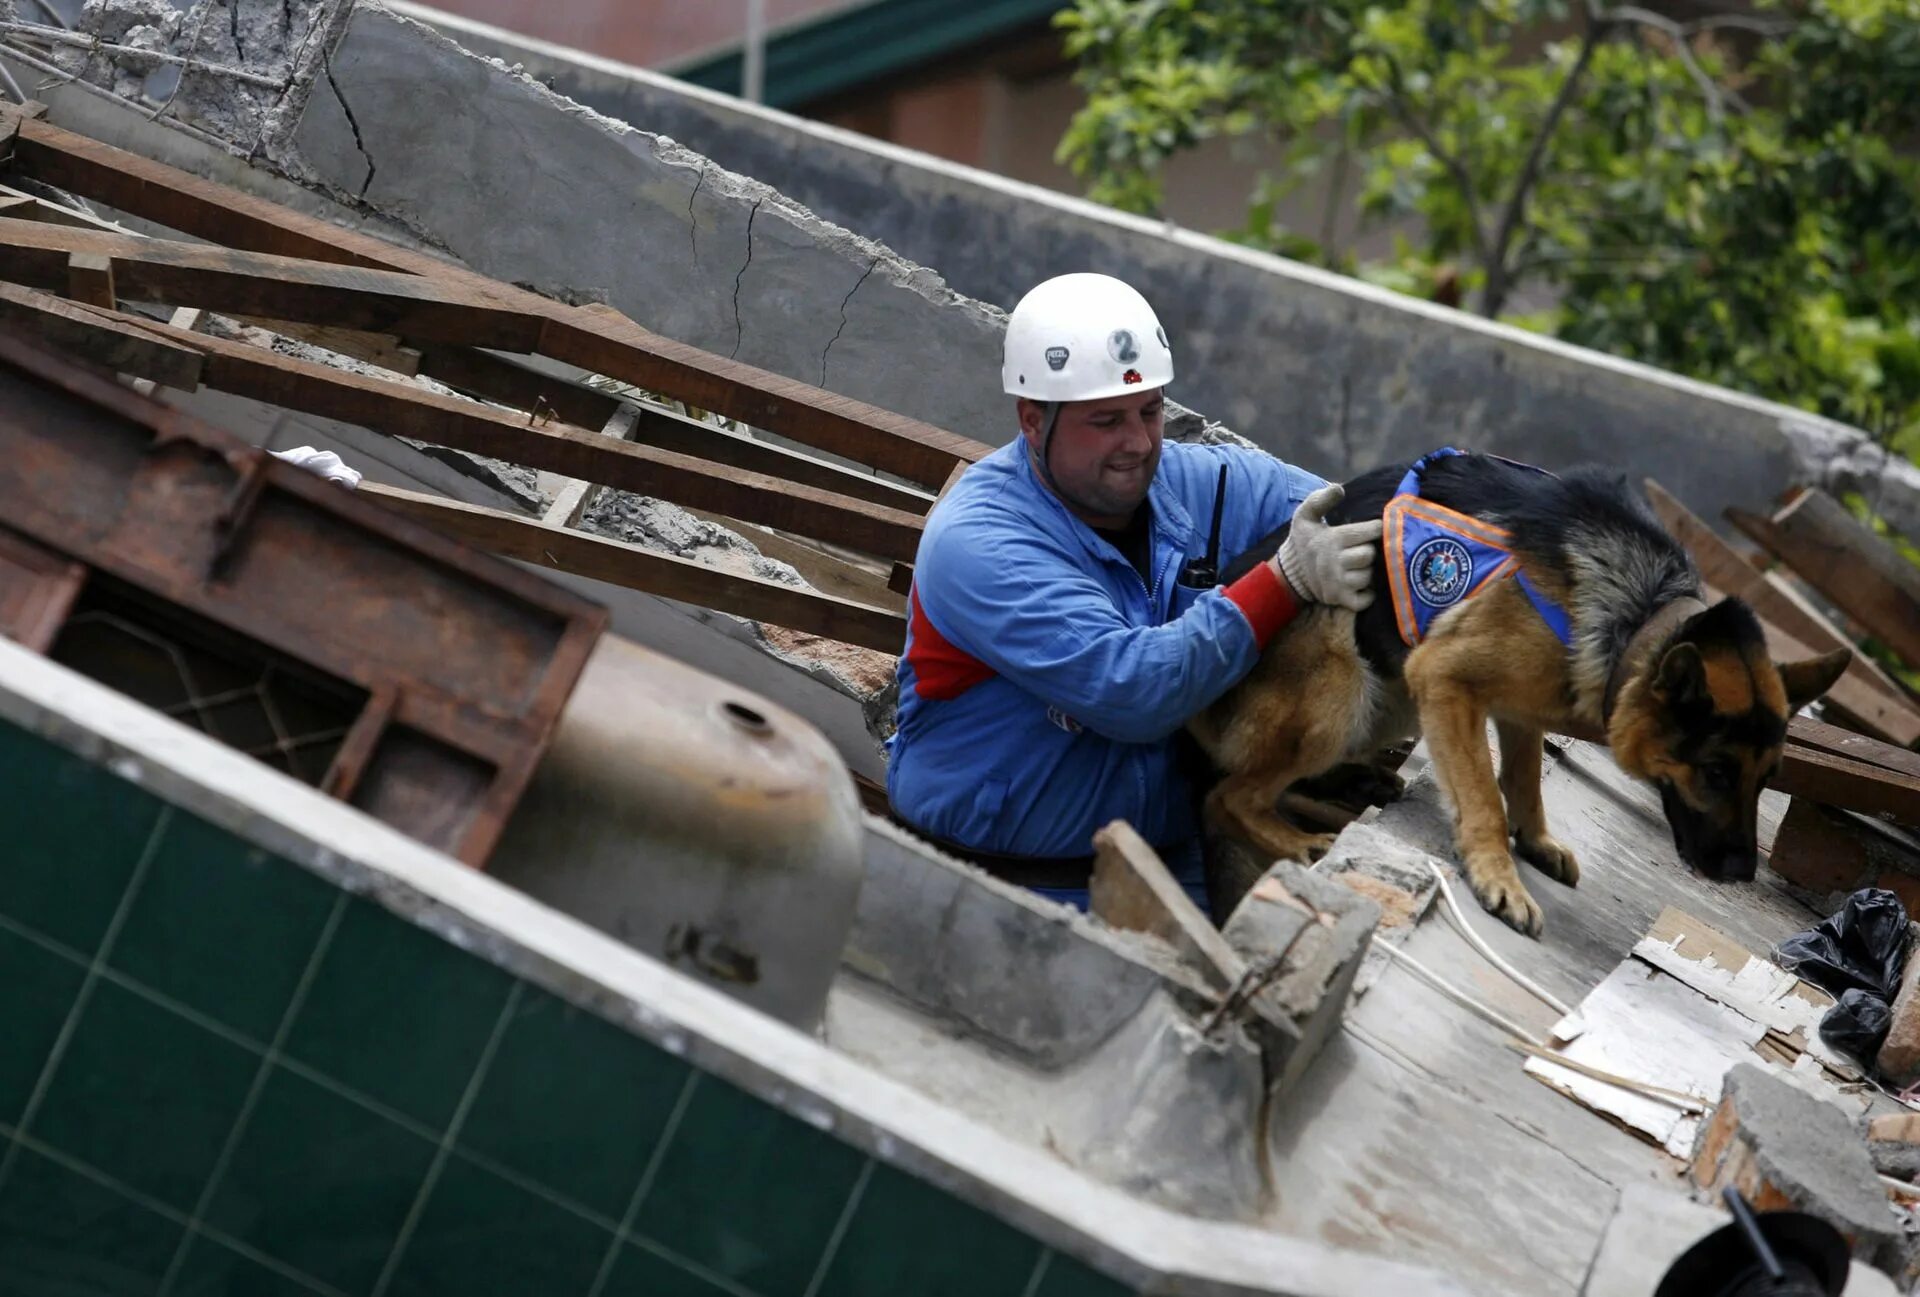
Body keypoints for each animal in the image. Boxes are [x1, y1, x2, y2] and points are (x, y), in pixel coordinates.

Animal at [1190, 450, 1850, 936]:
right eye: (1715, 772)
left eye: (1768, 779)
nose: (1741, 872)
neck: (1640, 615)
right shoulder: (1444, 676)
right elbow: (1483, 792)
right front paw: (1498, 875)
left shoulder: (1522, 704)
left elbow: (1526, 779)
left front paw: (1534, 841)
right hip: (1343, 682)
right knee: (1226, 798)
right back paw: (1303, 843)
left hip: (1395, 701)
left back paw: (1358, 781)